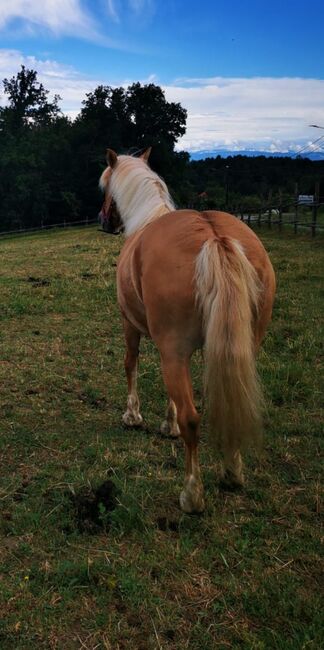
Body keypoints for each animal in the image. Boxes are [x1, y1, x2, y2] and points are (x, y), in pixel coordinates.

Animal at [98, 148, 276, 512]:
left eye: (104, 188)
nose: (104, 221)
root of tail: (214, 237)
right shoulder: (180, 352)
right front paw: (168, 424)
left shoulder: (133, 327)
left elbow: (130, 365)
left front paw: (132, 415)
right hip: (238, 349)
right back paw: (231, 472)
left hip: (172, 349)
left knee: (193, 419)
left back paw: (192, 494)